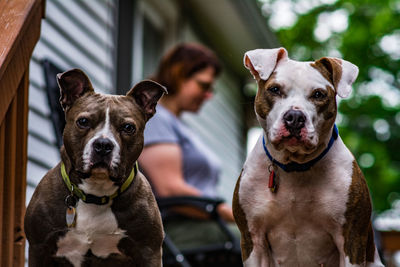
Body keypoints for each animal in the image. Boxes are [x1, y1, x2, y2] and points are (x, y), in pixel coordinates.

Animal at [25, 69, 166, 267]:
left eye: (128, 127)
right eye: (83, 121)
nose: (103, 145)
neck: (96, 194)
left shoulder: (149, 252)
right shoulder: (39, 248)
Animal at [234, 48, 384, 267]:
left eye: (319, 94)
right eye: (275, 89)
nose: (295, 117)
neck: (295, 167)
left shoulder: (352, 239)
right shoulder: (253, 240)